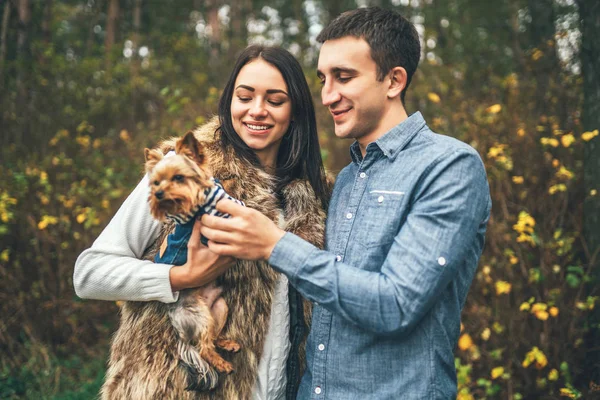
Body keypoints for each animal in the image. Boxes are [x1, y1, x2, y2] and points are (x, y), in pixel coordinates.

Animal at [142, 131, 241, 390]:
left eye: (178, 177)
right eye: (156, 183)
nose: (158, 194)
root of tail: (179, 331)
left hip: (220, 307)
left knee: (212, 338)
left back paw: (226, 344)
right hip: (199, 315)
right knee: (204, 347)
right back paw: (222, 364)